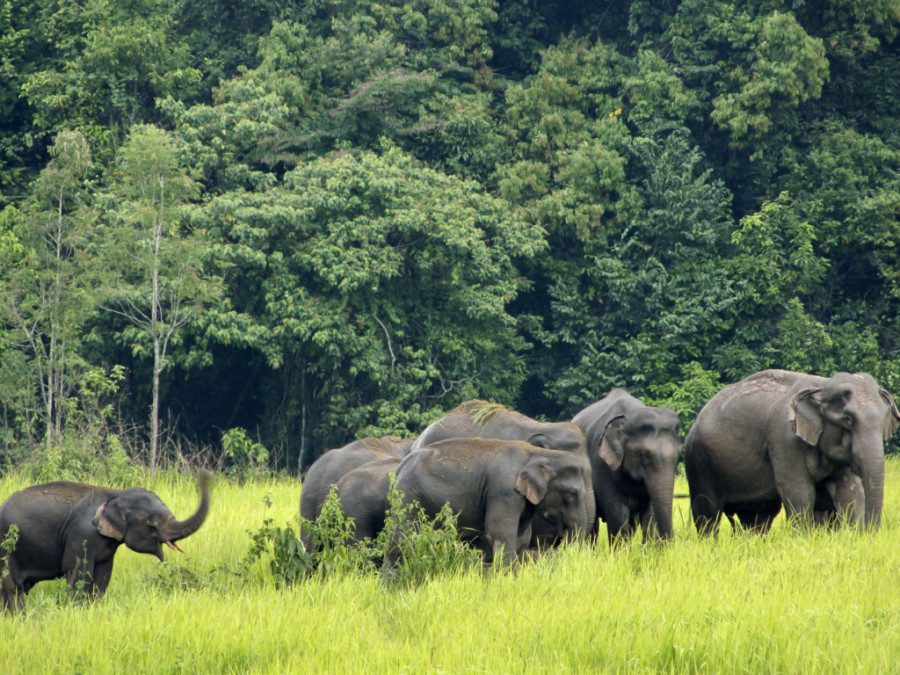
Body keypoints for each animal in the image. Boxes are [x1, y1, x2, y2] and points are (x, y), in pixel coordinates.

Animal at [0, 470, 212, 612]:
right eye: (152, 522)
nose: (205, 474)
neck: (117, 493)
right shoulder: (81, 534)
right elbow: (77, 570)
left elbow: (103, 576)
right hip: (7, 547)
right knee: (12, 586)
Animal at [384, 438, 592, 572]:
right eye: (571, 495)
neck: (536, 453)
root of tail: (400, 467)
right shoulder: (503, 491)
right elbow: (500, 534)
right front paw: (505, 579)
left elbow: (521, 537)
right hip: (408, 498)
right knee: (401, 539)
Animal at [572, 390, 680, 544]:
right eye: (645, 456)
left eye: (678, 454)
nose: (668, 543)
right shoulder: (602, 465)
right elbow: (618, 512)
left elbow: (649, 513)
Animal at [684, 370, 900, 532]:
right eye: (848, 420)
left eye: (884, 420)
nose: (869, 532)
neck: (822, 386)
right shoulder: (784, 439)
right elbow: (798, 491)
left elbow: (849, 489)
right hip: (700, 463)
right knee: (707, 514)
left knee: (757, 517)